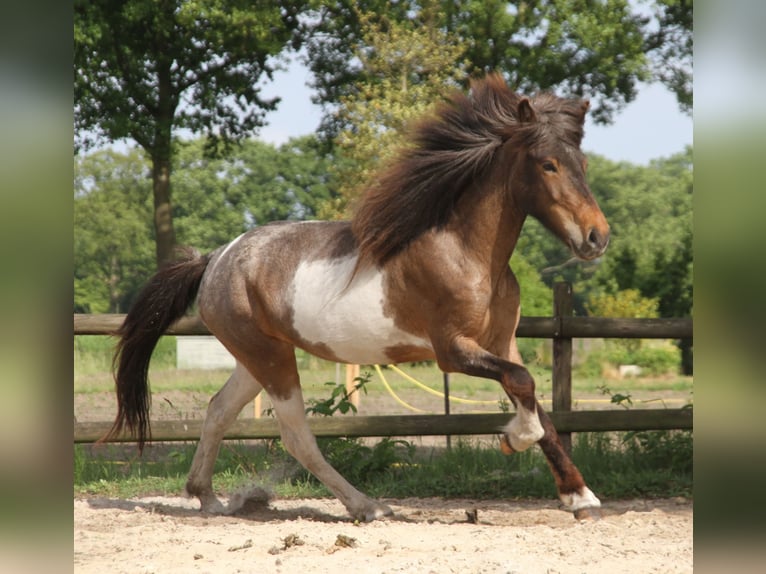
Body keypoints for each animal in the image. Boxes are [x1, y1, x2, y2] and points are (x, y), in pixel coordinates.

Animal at [102, 73, 610, 522]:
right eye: (547, 164)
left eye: (583, 165)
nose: (597, 237)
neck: (466, 252)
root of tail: (216, 260)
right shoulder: (452, 350)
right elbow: (524, 388)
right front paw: (513, 439)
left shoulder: (502, 343)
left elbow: (534, 398)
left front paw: (579, 496)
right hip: (271, 360)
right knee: (296, 437)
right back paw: (368, 506)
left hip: (256, 358)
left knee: (218, 412)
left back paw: (207, 498)